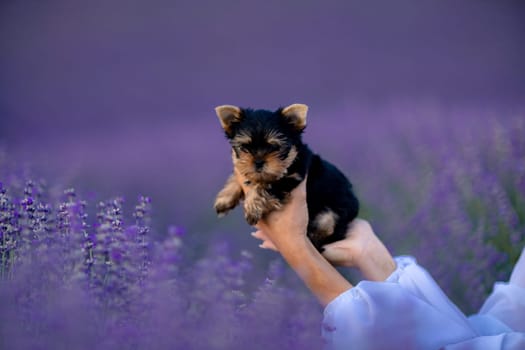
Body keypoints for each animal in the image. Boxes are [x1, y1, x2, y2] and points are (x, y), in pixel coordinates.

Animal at [212, 102, 356, 250]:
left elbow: (263, 186)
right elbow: (240, 175)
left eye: (274, 147)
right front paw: (225, 198)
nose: (258, 162)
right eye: (245, 147)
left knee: (327, 227)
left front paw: (252, 206)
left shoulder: (292, 177)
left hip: (334, 212)